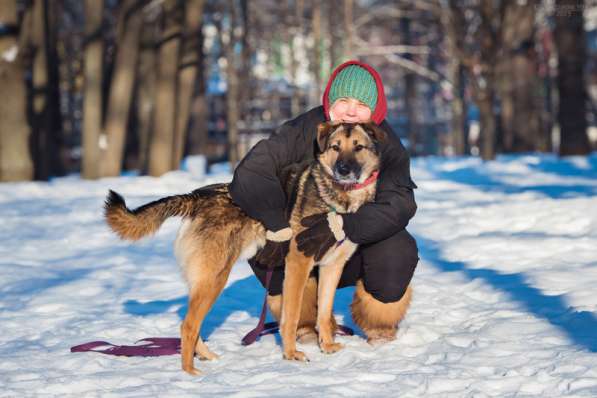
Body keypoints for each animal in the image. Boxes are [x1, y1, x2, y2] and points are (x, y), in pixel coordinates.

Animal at [104, 119, 384, 374]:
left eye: (358, 147)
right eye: (336, 147)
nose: (343, 170)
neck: (339, 198)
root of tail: (198, 197)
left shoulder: (332, 267)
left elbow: (323, 313)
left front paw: (326, 346)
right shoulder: (298, 264)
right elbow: (291, 316)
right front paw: (291, 354)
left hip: (207, 282)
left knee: (191, 325)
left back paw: (206, 356)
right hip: (214, 279)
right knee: (188, 325)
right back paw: (190, 372)